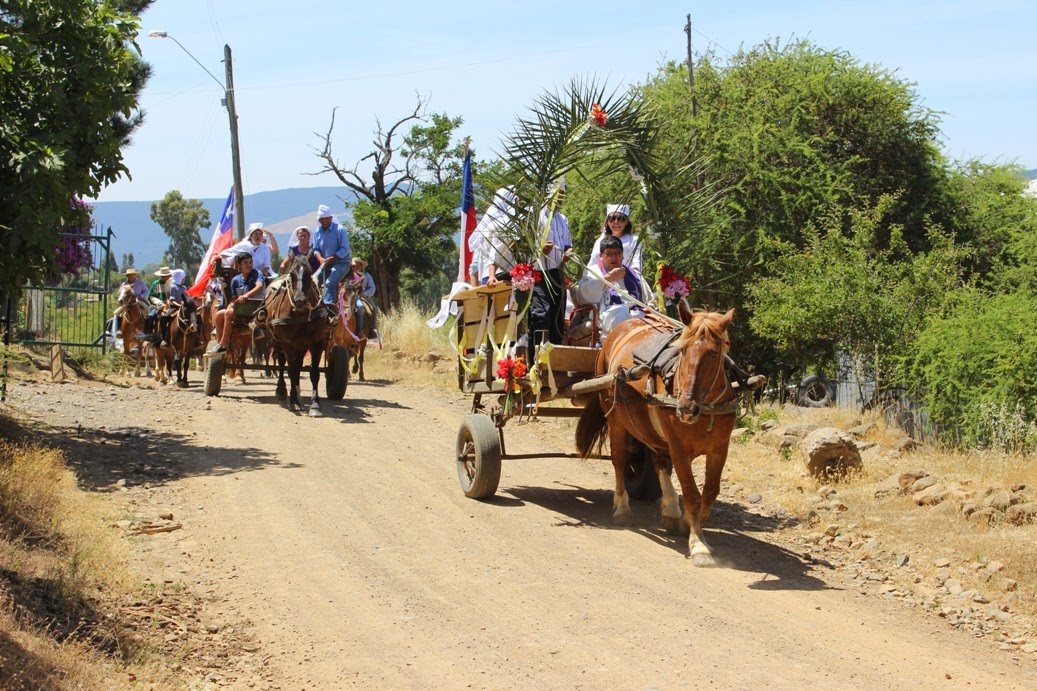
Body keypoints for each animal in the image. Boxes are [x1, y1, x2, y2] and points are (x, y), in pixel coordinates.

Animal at [254, 255, 323, 410]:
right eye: (292, 274)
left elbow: (313, 372)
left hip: (300, 345)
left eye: (309, 273)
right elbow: (290, 369)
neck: (300, 314)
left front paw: (315, 404)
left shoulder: (315, 341)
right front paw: (292, 400)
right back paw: (282, 390)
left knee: (297, 364)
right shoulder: (286, 343)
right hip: (275, 339)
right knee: (280, 360)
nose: (299, 300)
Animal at [576, 307, 738, 564]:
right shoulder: (679, 447)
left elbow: (710, 492)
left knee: (658, 460)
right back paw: (622, 508)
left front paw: (688, 526)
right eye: (682, 350)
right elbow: (691, 494)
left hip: (651, 431)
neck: (705, 408)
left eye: (714, 354)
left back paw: (670, 510)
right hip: (615, 419)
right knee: (619, 460)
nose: (685, 408)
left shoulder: (719, 449)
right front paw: (699, 545)